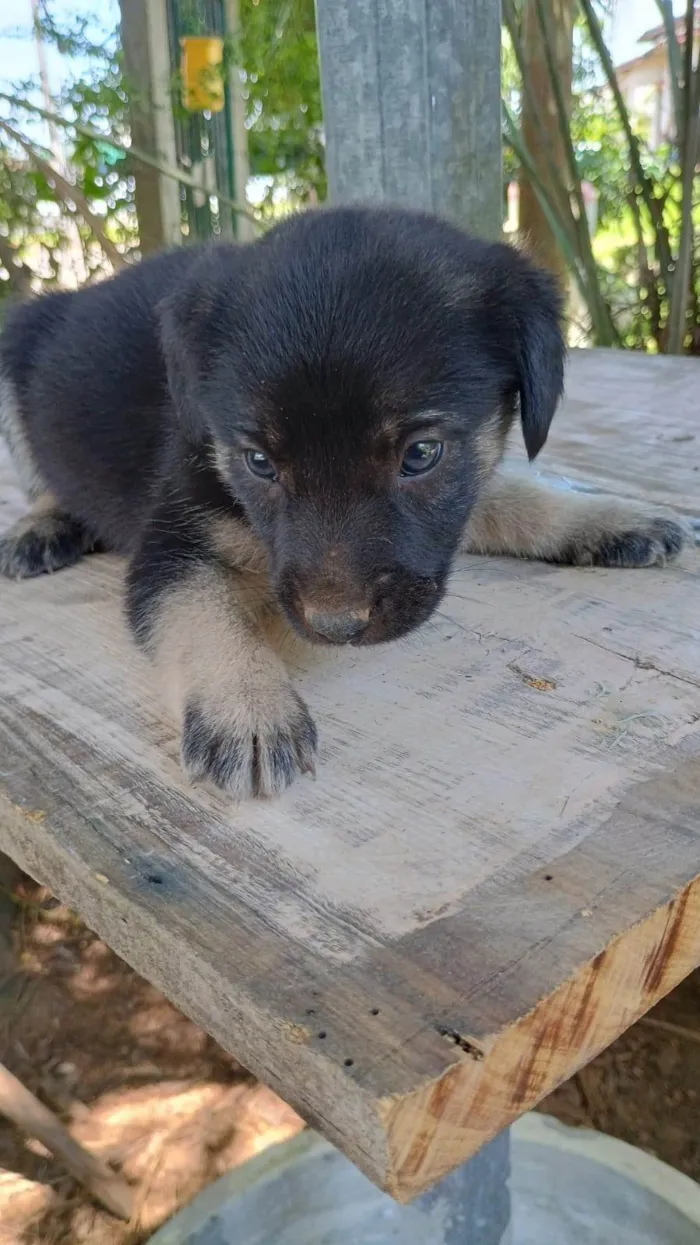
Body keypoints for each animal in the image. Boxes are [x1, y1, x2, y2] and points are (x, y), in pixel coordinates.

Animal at [0, 206, 687, 796]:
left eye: (421, 455)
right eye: (258, 462)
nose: (336, 628)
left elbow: (501, 492)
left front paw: (604, 515)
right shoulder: (171, 544)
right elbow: (200, 613)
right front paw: (247, 705)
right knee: (40, 480)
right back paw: (42, 526)